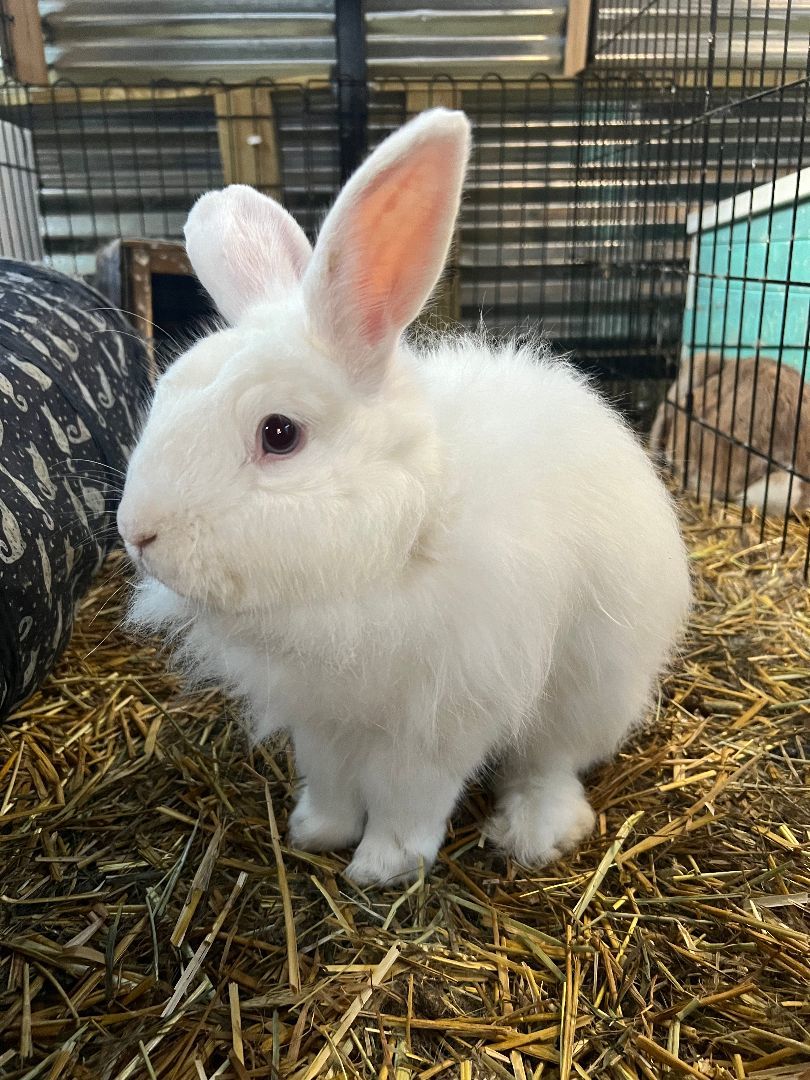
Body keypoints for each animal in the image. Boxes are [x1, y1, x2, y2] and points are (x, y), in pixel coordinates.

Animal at [117, 109, 691, 888]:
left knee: (551, 763)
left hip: (592, 687)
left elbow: (409, 794)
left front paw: (382, 866)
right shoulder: (321, 718)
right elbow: (329, 777)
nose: (137, 533)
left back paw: (534, 831)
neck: (405, 538)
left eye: (279, 433)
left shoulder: (441, 715)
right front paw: (316, 832)